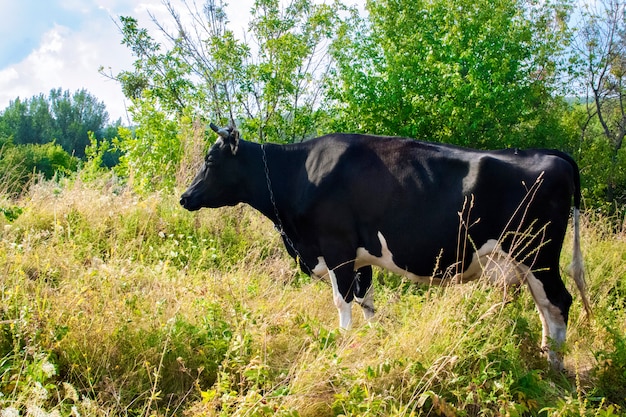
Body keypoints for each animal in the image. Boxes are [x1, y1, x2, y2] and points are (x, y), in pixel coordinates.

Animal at [180, 122, 588, 368]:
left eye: (211, 159)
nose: (185, 197)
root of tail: (550, 153)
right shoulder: (361, 260)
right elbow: (367, 304)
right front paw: (372, 342)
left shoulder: (337, 249)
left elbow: (342, 303)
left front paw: (343, 346)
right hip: (526, 260)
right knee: (545, 307)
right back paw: (545, 356)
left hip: (537, 252)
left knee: (559, 302)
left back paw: (554, 366)